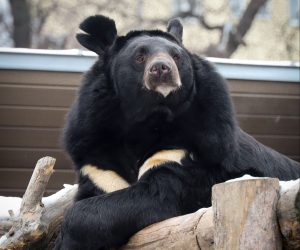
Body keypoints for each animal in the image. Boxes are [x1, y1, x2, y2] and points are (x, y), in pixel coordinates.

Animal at [54, 16, 300, 250]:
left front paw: (66, 240)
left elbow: (158, 194)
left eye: (176, 56)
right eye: (139, 57)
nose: (162, 68)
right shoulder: (97, 157)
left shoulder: (191, 146)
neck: (147, 118)